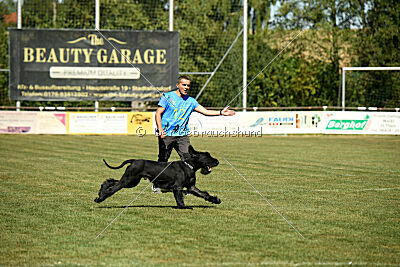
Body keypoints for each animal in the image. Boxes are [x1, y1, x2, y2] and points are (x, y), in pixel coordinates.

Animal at [95, 147, 223, 209]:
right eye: (207, 156)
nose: (217, 161)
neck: (189, 166)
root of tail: (134, 160)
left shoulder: (191, 187)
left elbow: (203, 194)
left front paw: (215, 200)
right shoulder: (177, 187)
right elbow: (180, 199)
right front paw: (184, 207)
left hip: (132, 181)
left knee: (111, 181)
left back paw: (102, 190)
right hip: (128, 180)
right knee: (114, 188)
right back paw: (100, 198)